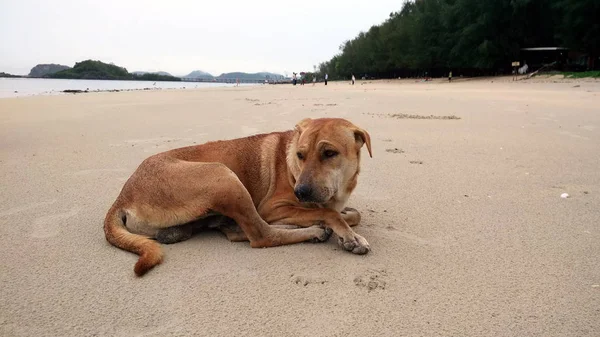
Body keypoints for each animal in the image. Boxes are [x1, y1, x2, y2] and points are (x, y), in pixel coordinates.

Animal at [105, 117, 372, 274]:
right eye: (300, 155)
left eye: (329, 153)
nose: (301, 192)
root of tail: (123, 196)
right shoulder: (273, 207)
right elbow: (329, 213)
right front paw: (349, 235)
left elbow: (349, 213)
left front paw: (343, 221)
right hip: (223, 177)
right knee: (260, 235)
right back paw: (312, 231)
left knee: (238, 230)